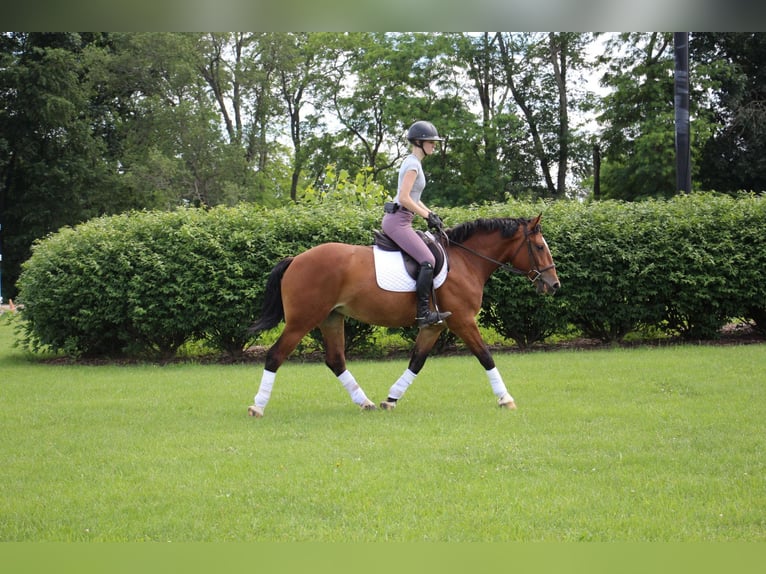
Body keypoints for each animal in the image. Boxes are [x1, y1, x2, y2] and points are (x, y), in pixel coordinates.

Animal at [249, 214, 560, 416]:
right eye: (540, 247)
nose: (554, 285)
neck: (466, 261)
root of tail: (295, 260)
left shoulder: (435, 327)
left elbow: (417, 361)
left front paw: (391, 399)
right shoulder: (463, 321)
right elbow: (485, 356)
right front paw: (505, 398)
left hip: (331, 318)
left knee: (336, 360)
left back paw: (365, 402)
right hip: (302, 320)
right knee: (275, 355)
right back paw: (257, 406)